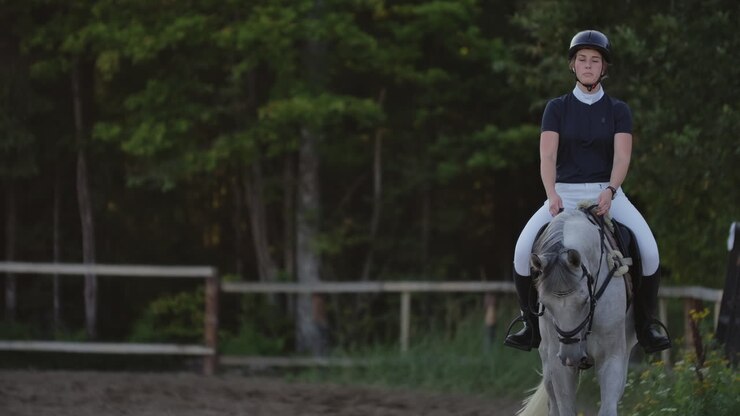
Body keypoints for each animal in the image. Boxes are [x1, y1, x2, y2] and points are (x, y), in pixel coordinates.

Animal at [518, 206, 637, 416]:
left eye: (585, 300)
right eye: (545, 304)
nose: (570, 357)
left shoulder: (612, 358)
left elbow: (608, 408)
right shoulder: (558, 364)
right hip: (547, 360)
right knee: (552, 403)